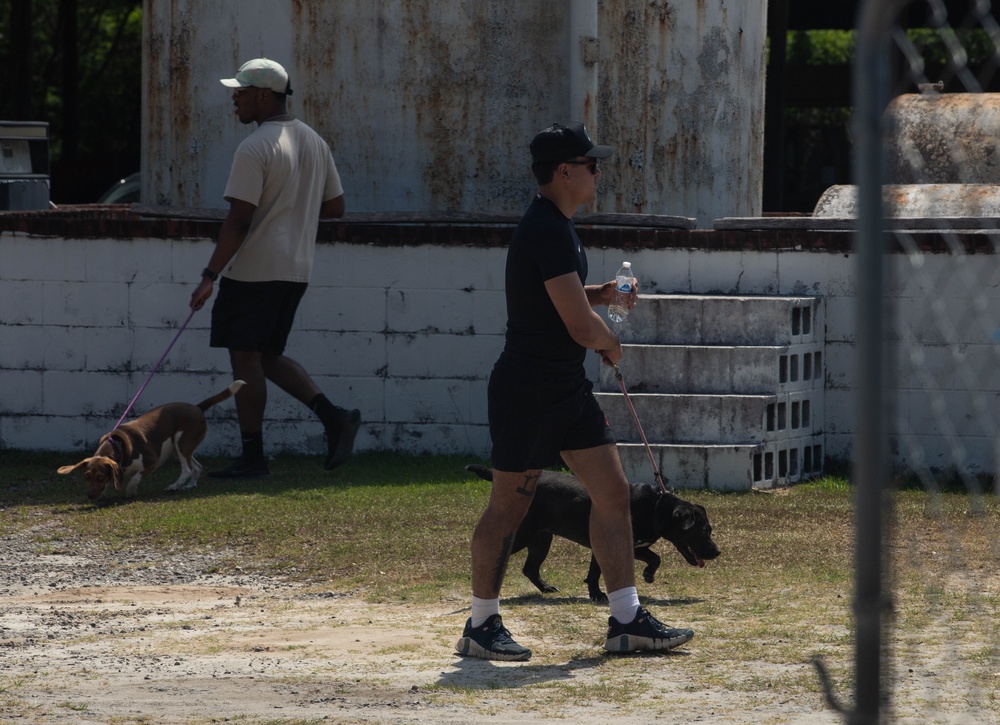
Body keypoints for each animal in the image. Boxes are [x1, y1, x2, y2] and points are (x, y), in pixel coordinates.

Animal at [468, 464, 720, 600]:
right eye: (702, 531)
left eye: (710, 530)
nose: (717, 552)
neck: (656, 508)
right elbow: (597, 572)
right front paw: (598, 595)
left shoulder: (633, 546)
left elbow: (653, 558)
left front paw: (648, 575)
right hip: (522, 535)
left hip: (541, 539)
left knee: (529, 568)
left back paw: (546, 587)